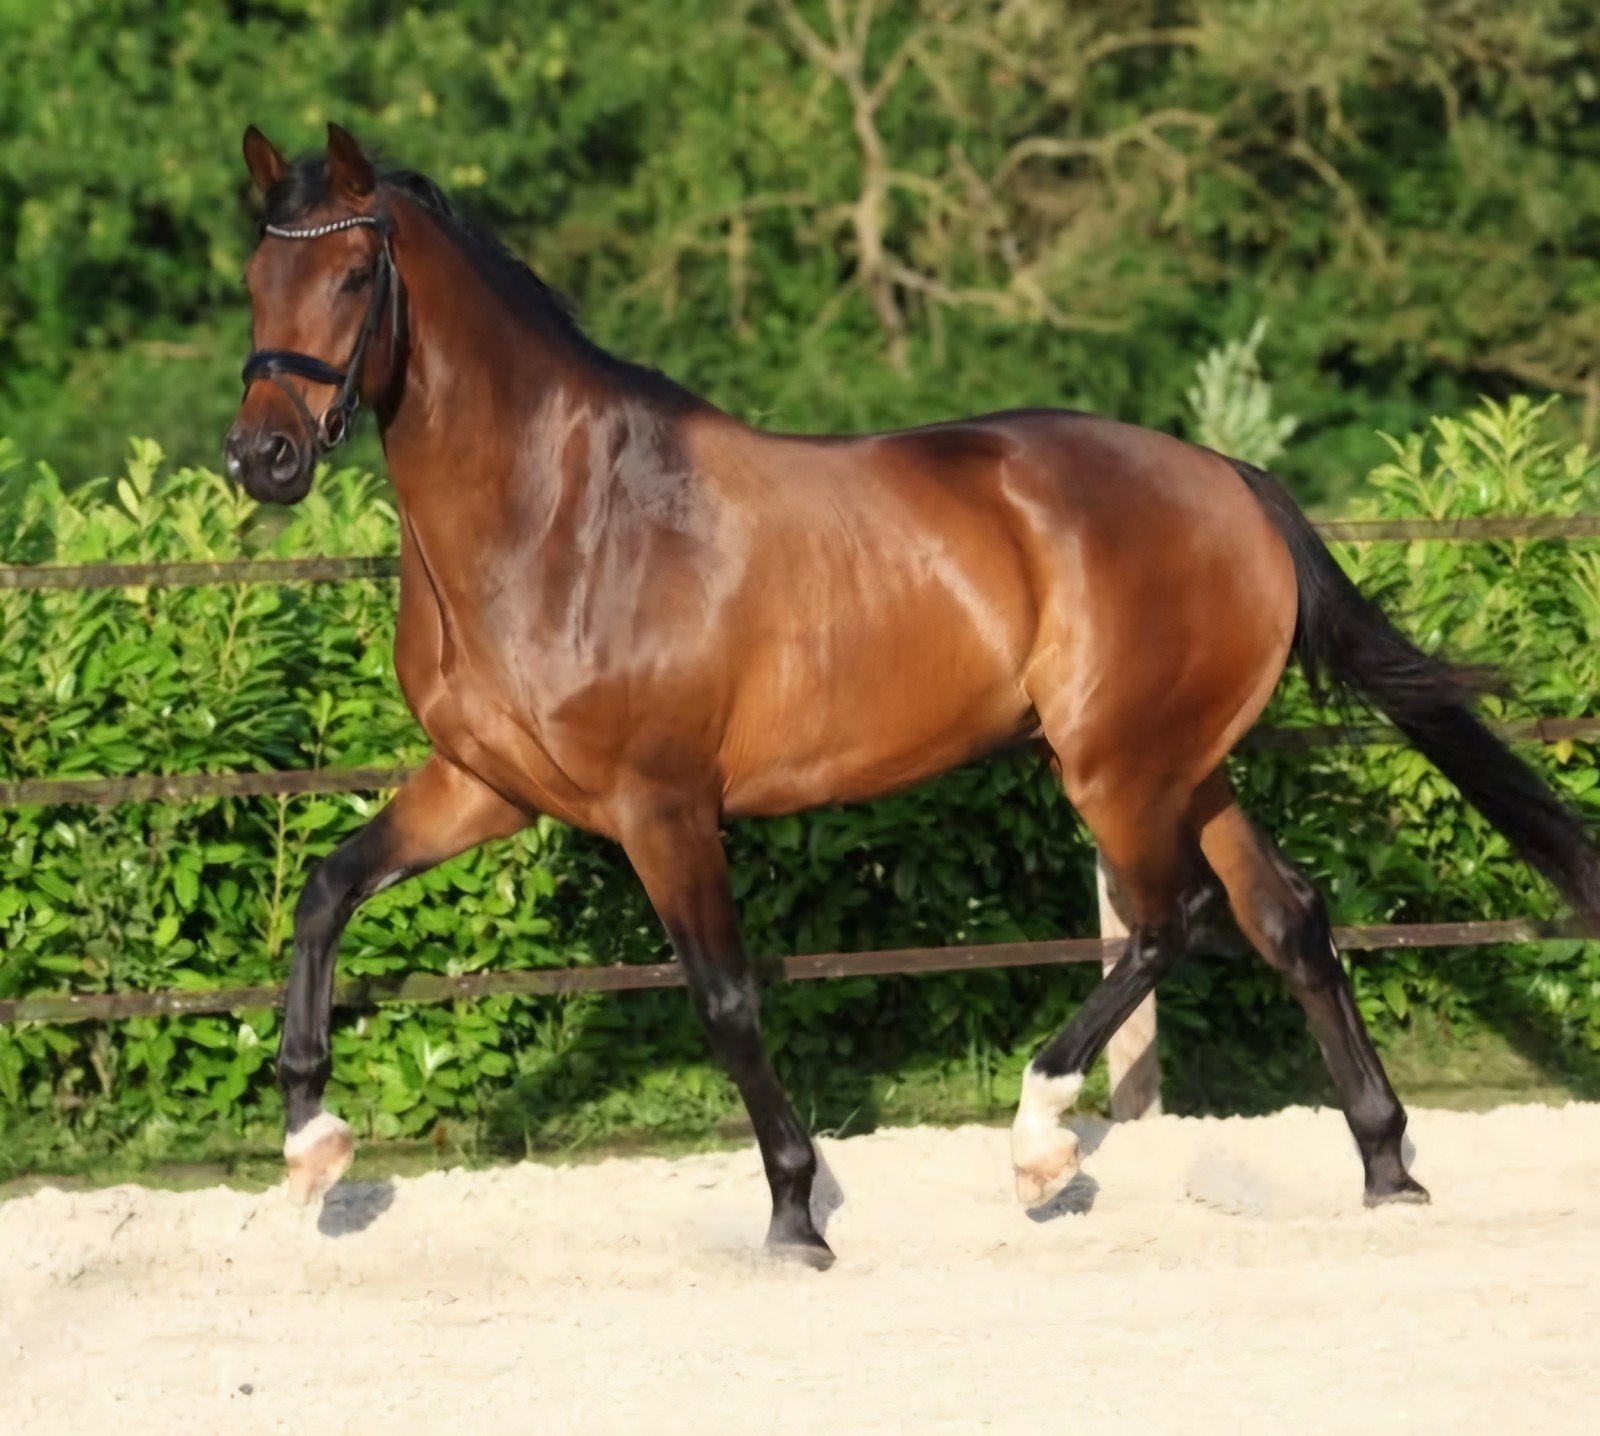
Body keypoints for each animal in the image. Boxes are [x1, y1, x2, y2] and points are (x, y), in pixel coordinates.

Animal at [226, 124, 1600, 1268]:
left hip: (1114, 765)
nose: (262, 458)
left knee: (1176, 917)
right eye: (253, 281)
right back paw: (1385, 1164)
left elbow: (724, 996)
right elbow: (325, 891)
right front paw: (311, 1146)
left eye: (351, 278)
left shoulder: (661, 805)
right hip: (1179, 760)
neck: (562, 517)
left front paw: (794, 1211)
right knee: (1287, 915)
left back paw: (1041, 1141)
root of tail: (1230, 479)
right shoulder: (486, 787)